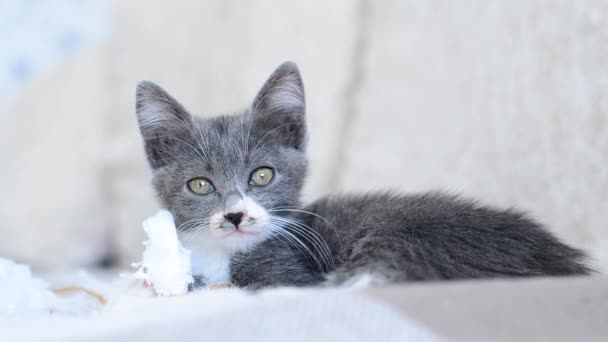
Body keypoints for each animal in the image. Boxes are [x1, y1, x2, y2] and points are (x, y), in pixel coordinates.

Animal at [135, 60, 592, 288]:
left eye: (262, 177)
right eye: (200, 185)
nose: (234, 216)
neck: (224, 256)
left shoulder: (288, 270)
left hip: (400, 239)